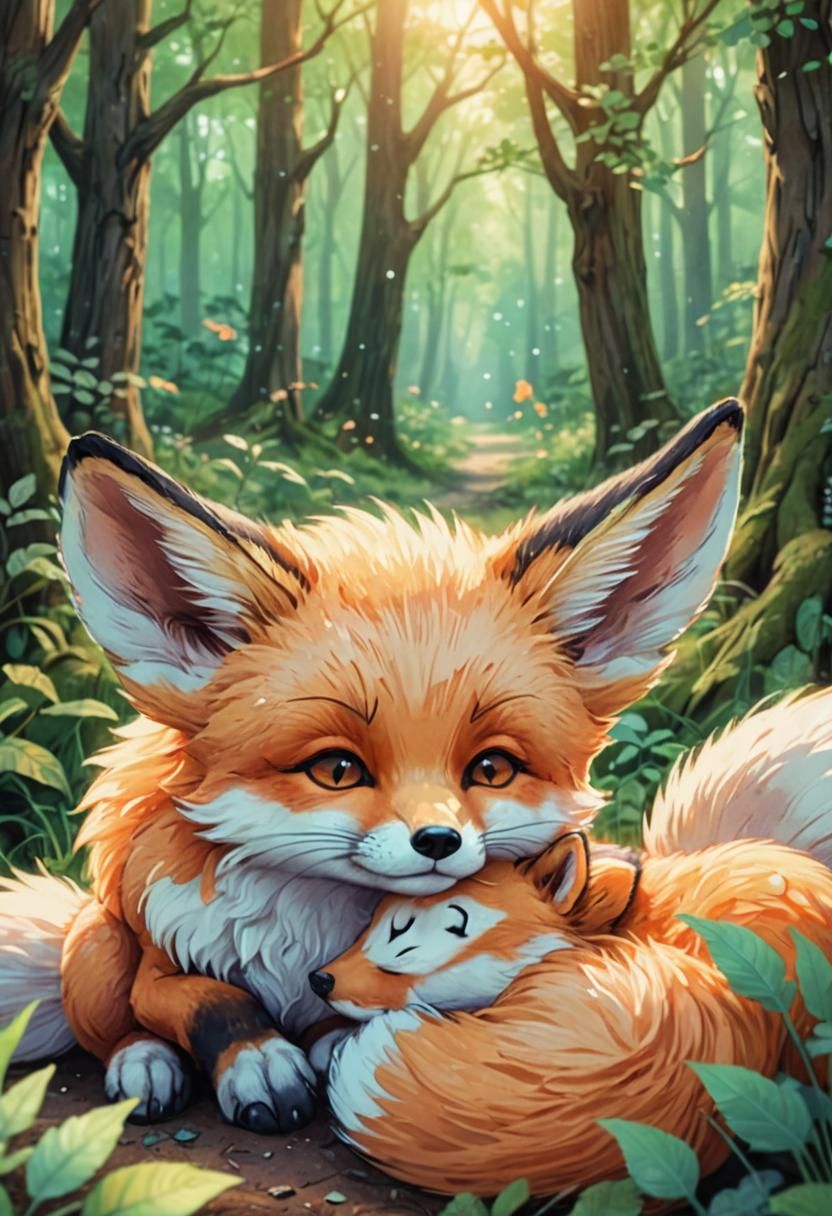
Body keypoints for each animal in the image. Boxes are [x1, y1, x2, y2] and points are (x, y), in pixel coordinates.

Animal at [0, 400, 743, 1135]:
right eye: (336, 770)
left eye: (493, 769)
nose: (439, 841)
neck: (313, 931)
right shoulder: (160, 966)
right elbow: (209, 1000)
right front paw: (259, 1057)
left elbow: (347, 1012)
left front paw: (338, 1042)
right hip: (97, 943)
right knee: (108, 1028)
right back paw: (145, 1064)